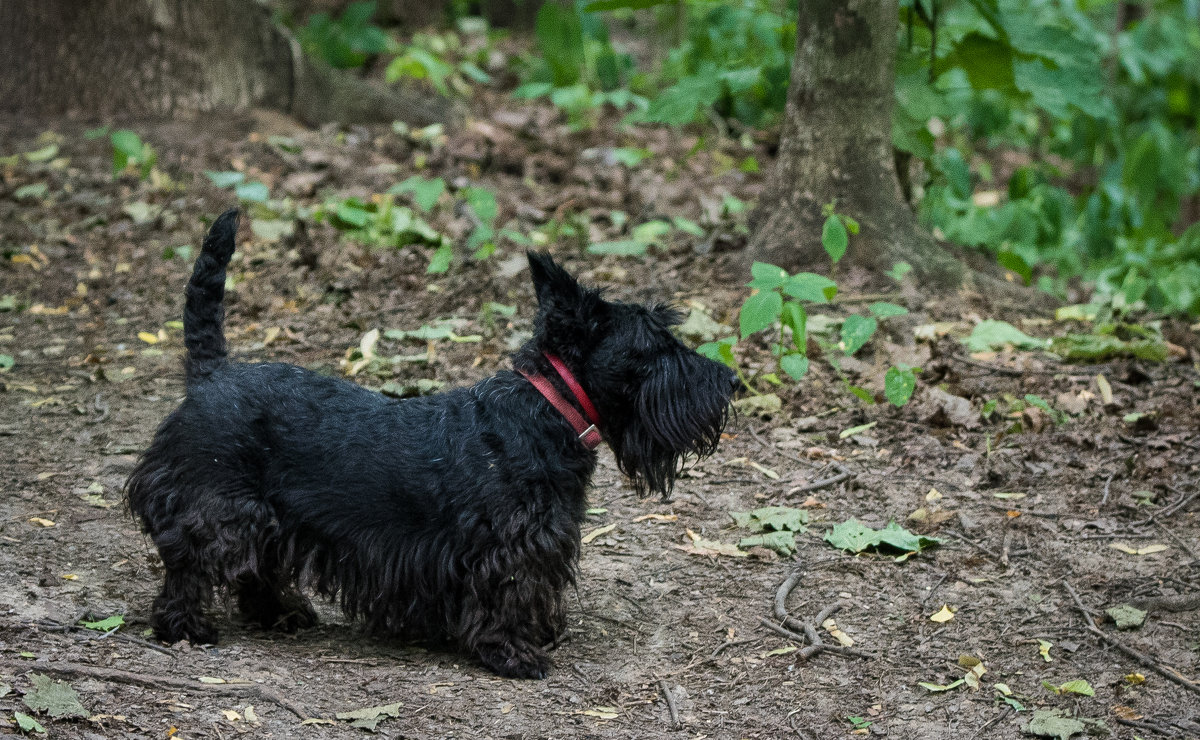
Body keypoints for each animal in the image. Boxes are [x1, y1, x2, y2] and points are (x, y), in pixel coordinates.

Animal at [126, 206, 734, 676]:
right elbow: (507, 592)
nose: (729, 380)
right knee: (191, 565)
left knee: (257, 566)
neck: (544, 410)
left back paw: (280, 614)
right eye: (655, 345)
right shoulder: (508, 547)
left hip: (269, 515)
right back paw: (186, 626)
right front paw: (513, 653)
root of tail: (211, 376)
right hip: (218, 506)